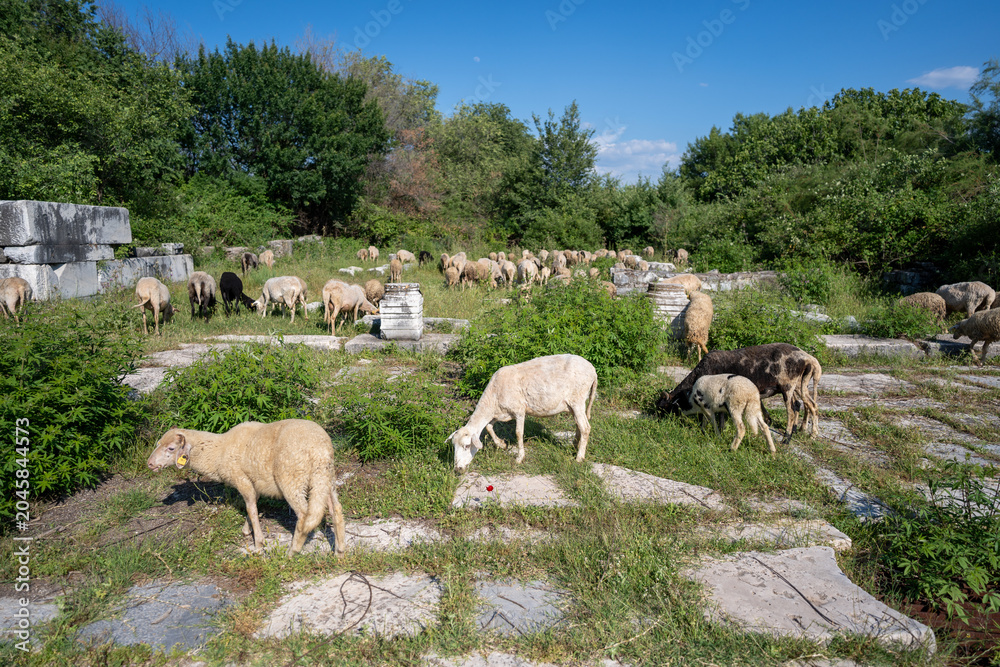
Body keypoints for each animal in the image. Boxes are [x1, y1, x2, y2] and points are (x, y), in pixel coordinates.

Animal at [146, 419, 346, 556]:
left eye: (171, 448)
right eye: (158, 444)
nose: (149, 464)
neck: (218, 451)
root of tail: (320, 450)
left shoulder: (242, 479)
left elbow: (250, 507)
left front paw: (258, 544)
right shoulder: (253, 482)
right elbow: (253, 505)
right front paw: (247, 529)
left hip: (292, 479)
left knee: (305, 515)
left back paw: (292, 552)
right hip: (325, 478)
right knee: (335, 509)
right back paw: (339, 552)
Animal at [447, 354, 598, 471]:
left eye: (467, 446)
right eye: (454, 446)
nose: (457, 470)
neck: (493, 397)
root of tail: (593, 370)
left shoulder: (519, 410)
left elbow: (518, 433)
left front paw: (519, 458)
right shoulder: (500, 412)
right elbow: (489, 427)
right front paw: (502, 444)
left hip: (577, 399)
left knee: (585, 427)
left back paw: (579, 457)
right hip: (573, 404)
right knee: (579, 424)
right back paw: (575, 445)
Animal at [657, 343, 822, 442]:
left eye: (664, 407)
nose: (657, 422)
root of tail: (807, 358)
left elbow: (720, 417)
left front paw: (719, 433)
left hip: (787, 385)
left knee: (792, 410)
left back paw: (787, 439)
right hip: (797, 386)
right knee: (807, 405)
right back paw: (804, 432)